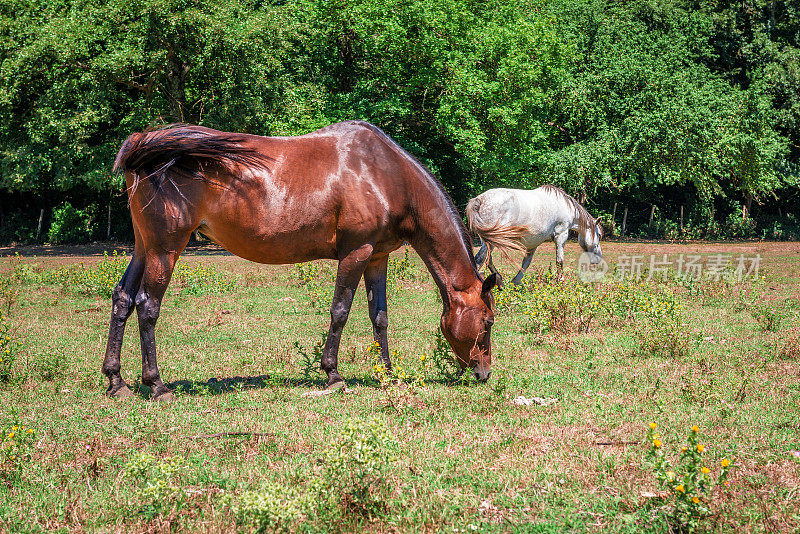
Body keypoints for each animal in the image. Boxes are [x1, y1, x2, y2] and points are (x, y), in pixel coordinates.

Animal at [103, 120, 496, 398]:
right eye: (488, 321)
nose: (484, 373)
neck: (383, 173)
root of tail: (145, 145)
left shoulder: (377, 257)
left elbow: (379, 317)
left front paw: (386, 372)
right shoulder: (356, 253)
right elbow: (340, 310)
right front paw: (333, 374)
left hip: (144, 247)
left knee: (123, 298)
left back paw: (116, 382)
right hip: (165, 249)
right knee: (147, 305)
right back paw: (156, 385)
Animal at [466, 184, 604, 284]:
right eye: (598, 235)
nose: (599, 258)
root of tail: (480, 200)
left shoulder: (533, 243)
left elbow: (526, 262)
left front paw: (516, 282)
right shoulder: (561, 236)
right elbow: (559, 261)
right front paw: (560, 282)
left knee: (486, 260)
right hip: (491, 242)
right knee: (480, 260)